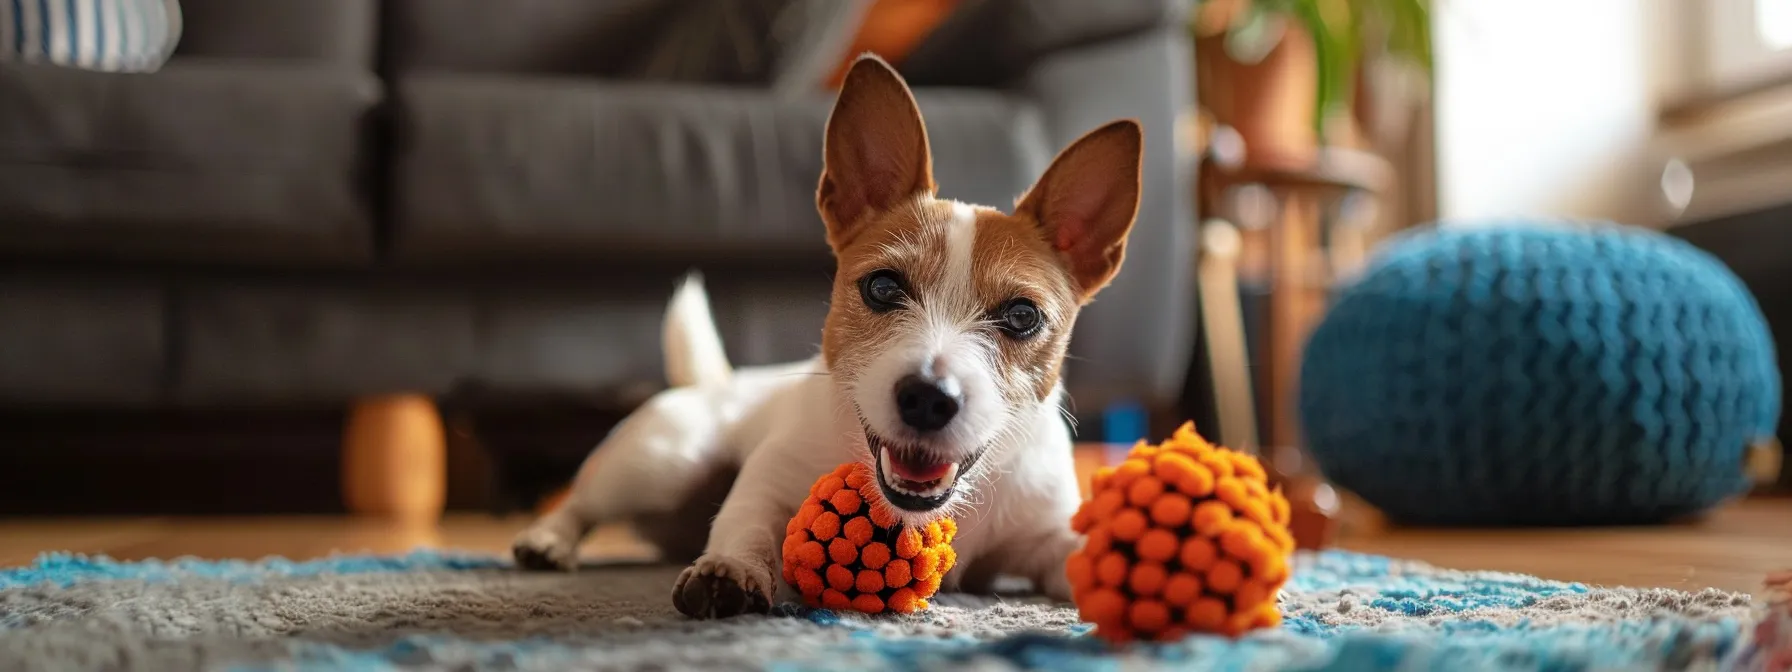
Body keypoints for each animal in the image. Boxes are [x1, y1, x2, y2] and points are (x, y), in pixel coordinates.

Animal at [512, 53, 1139, 620]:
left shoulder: (1047, 537)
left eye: (1022, 316)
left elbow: (1079, 553)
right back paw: (548, 539)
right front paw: (730, 568)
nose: (928, 399)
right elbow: (748, 524)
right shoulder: (766, 484)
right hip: (662, 462)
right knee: (582, 499)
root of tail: (718, 380)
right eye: (883, 287)